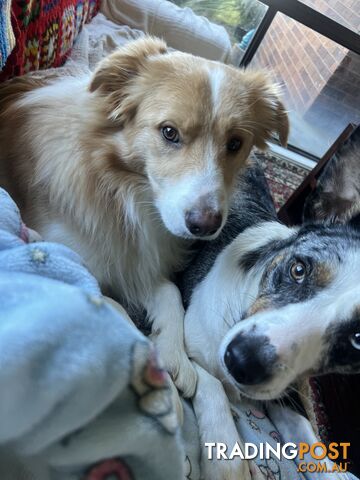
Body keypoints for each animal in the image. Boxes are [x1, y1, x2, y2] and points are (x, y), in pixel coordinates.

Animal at [0, 35, 288, 392]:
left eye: (235, 143)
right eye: (169, 132)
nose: (205, 225)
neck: (121, 191)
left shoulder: (135, 257)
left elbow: (169, 292)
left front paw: (173, 353)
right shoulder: (77, 254)